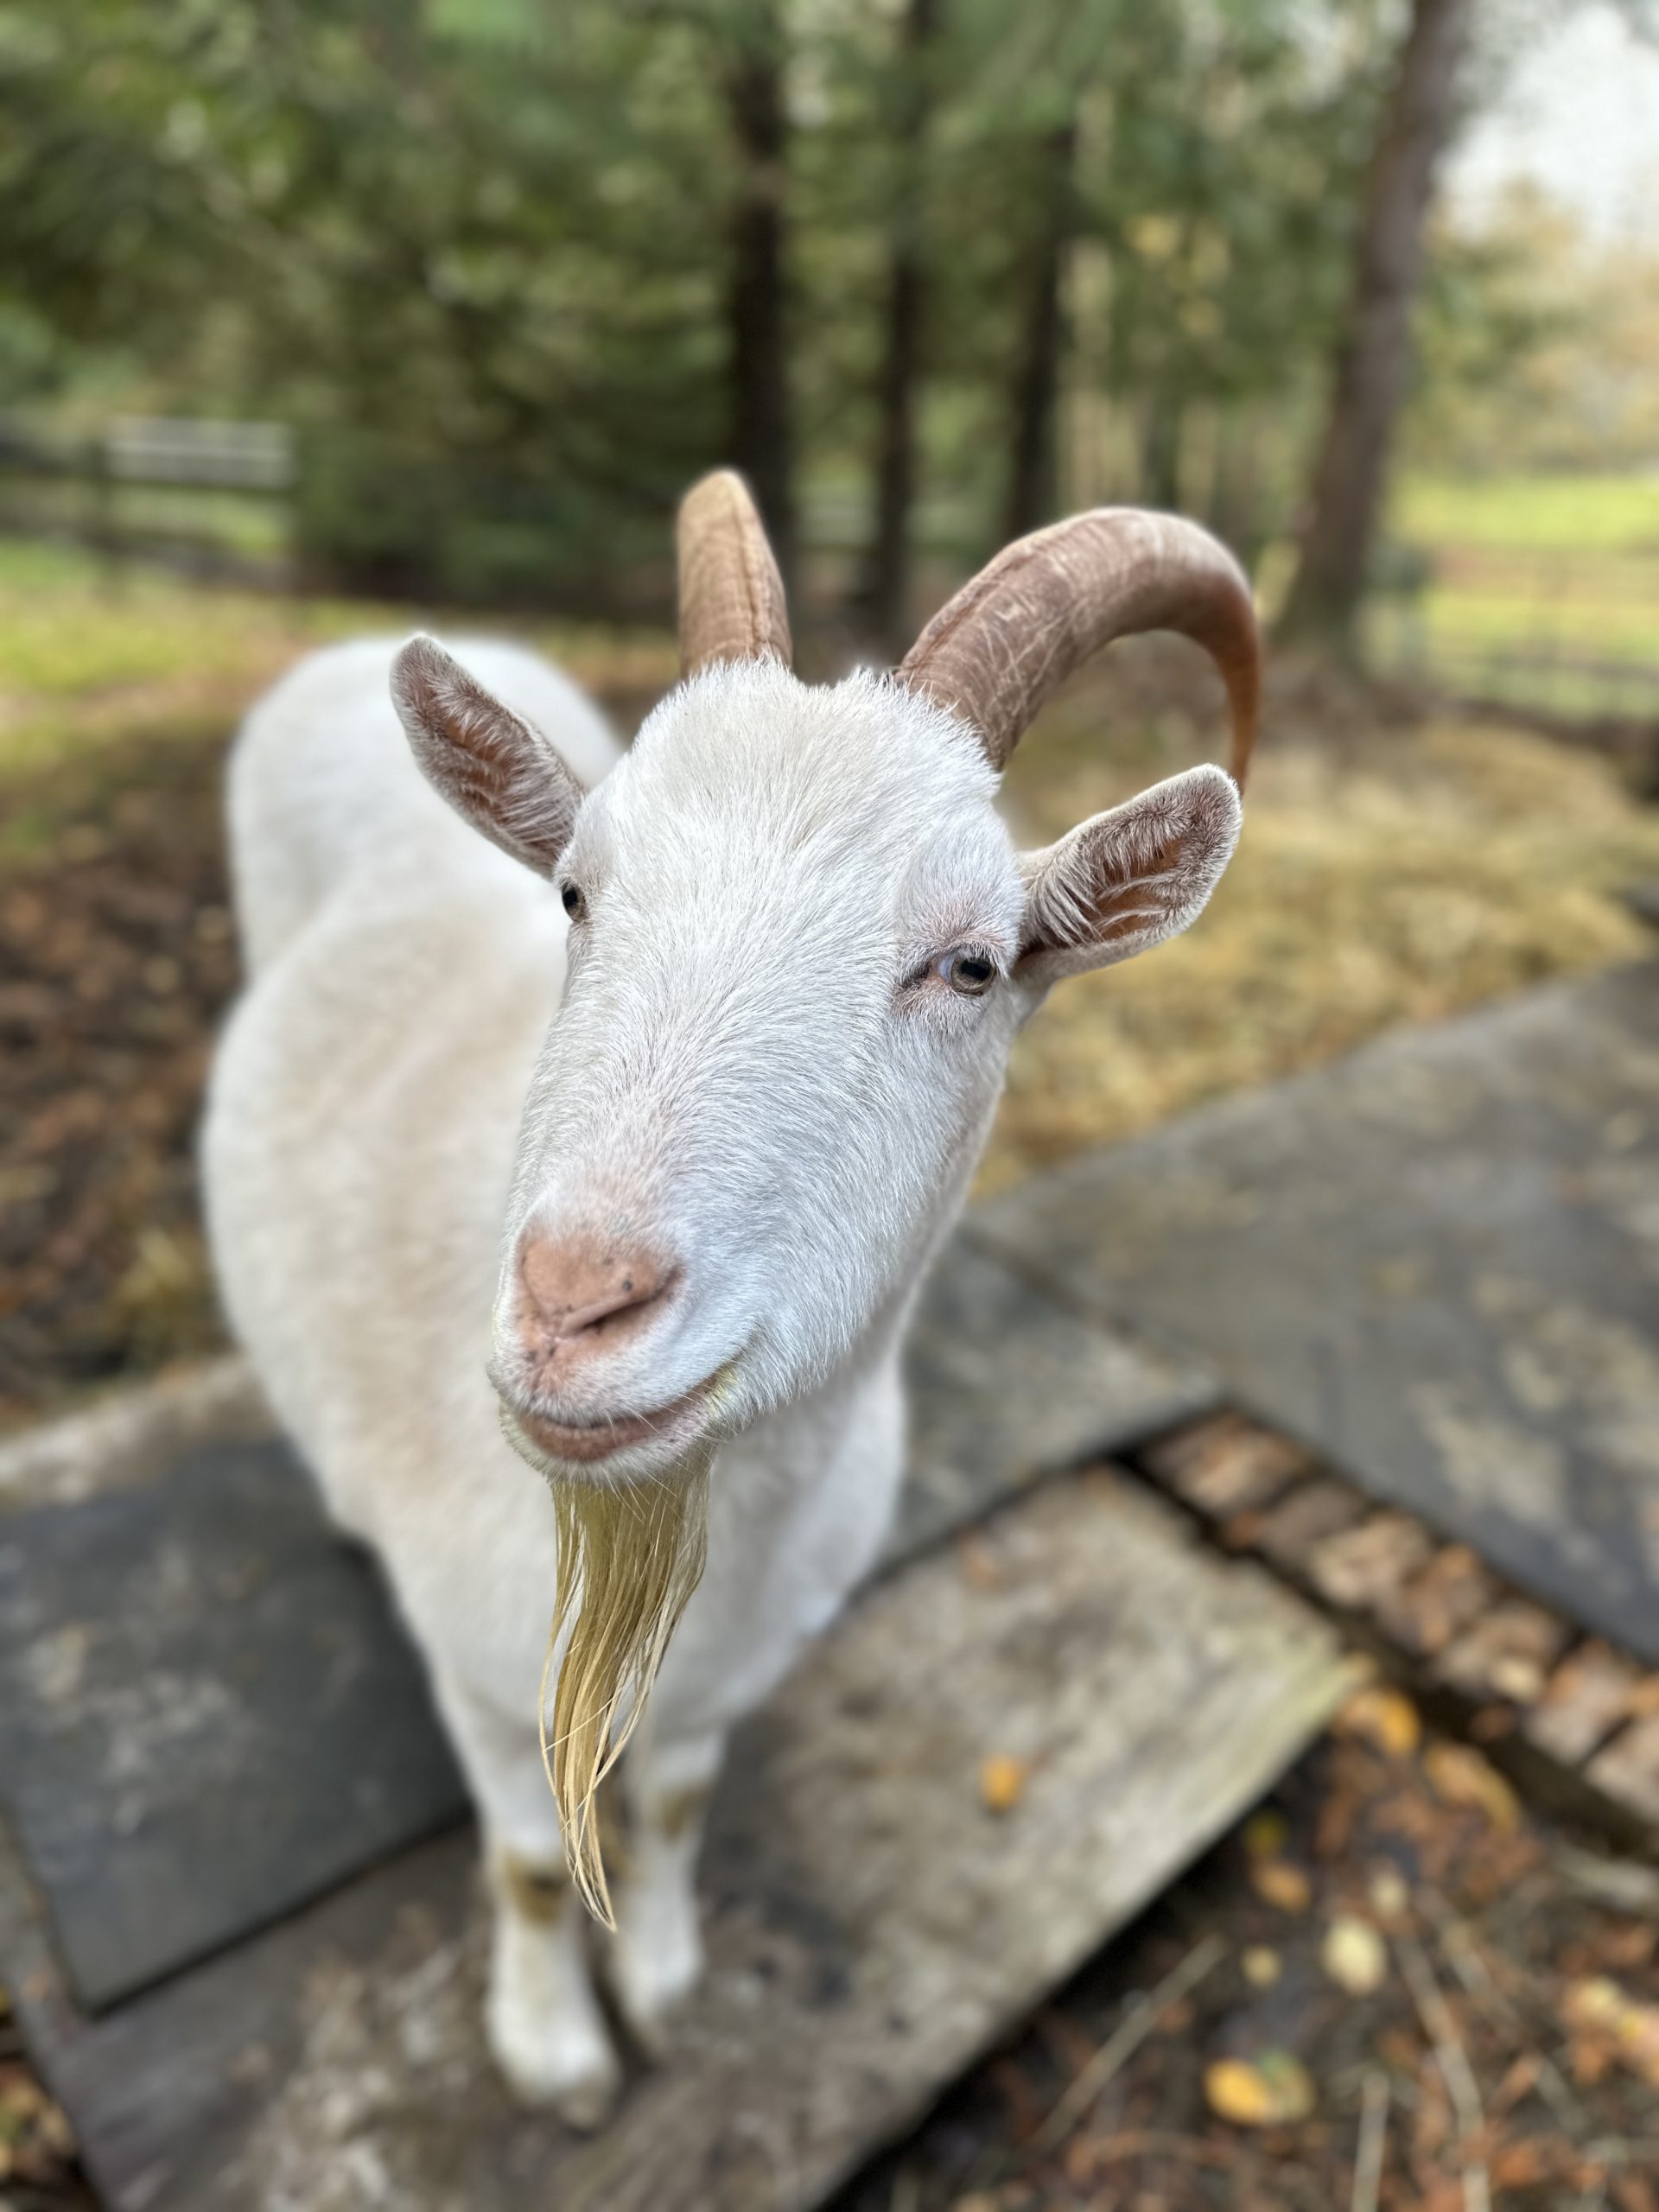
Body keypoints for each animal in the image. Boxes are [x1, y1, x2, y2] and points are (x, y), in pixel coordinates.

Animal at [204, 473, 1259, 2124]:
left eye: (971, 965)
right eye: (576, 890)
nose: (576, 1307)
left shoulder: (726, 1681)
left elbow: (683, 1807)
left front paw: (664, 1985)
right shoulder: (480, 1683)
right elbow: (525, 1867)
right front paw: (558, 2058)